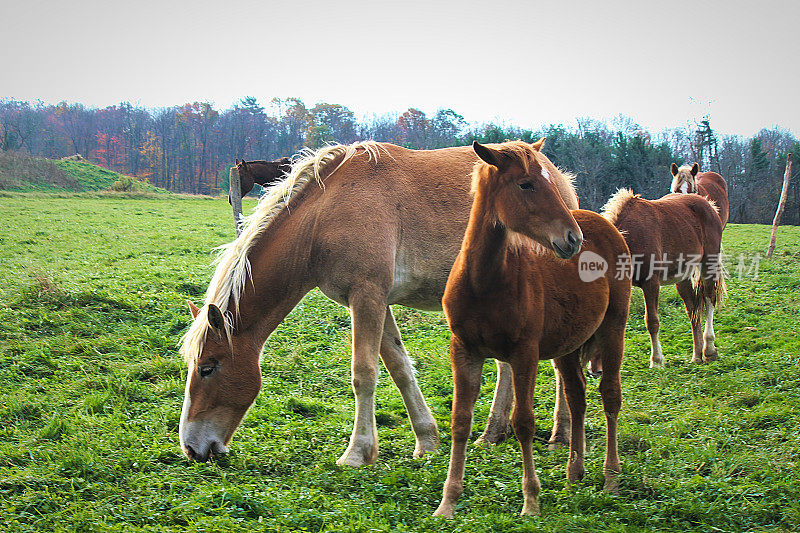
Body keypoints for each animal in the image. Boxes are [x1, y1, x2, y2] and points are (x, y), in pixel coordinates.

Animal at [178, 139, 580, 464]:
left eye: (208, 367)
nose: (191, 447)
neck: (324, 216)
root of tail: (561, 180)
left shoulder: (367, 296)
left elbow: (364, 373)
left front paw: (358, 452)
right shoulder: (376, 301)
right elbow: (399, 368)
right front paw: (427, 441)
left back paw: (561, 437)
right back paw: (494, 433)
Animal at [434, 141, 636, 516]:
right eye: (526, 184)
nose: (573, 239)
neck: (483, 283)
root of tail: (602, 223)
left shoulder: (524, 353)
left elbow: (523, 422)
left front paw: (530, 501)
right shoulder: (464, 351)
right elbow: (460, 421)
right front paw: (447, 503)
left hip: (614, 327)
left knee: (610, 396)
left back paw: (611, 478)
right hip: (569, 346)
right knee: (577, 396)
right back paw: (575, 474)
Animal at [600, 189, 724, 368]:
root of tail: (709, 205)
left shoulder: (651, 283)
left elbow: (652, 321)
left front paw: (656, 360)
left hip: (709, 265)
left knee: (709, 300)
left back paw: (709, 350)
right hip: (683, 276)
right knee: (693, 310)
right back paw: (697, 356)